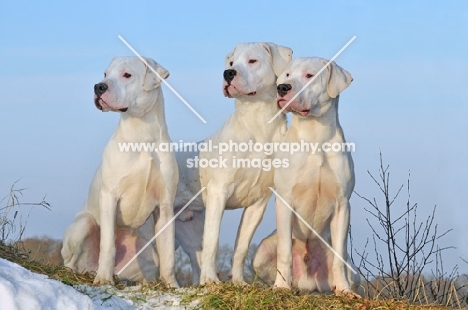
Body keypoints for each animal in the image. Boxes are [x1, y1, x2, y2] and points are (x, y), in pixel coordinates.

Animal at [61, 56, 178, 286]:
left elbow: (168, 251)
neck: (142, 134)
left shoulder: (165, 205)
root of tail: (88, 269)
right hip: (83, 225)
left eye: (127, 75)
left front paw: (172, 285)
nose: (99, 87)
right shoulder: (109, 196)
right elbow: (108, 245)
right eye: (105, 74)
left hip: (146, 253)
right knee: (69, 262)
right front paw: (103, 280)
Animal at [176, 42, 292, 284]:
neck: (257, 123)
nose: (228, 73)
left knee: (194, 258)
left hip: (187, 227)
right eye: (231, 62)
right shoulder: (219, 192)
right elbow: (213, 242)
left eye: (252, 61)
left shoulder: (258, 202)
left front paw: (238, 280)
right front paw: (211, 281)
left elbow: (241, 247)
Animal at [252, 57, 358, 296]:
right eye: (287, 75)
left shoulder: (342, 205)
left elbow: (339, 257)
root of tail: (308, 284)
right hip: (261, 252)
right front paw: (281, 287)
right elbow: (284, 252)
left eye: (310, 75)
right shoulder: (285, 200)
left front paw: (345, 291)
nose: (282, 88)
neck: (315, 136)